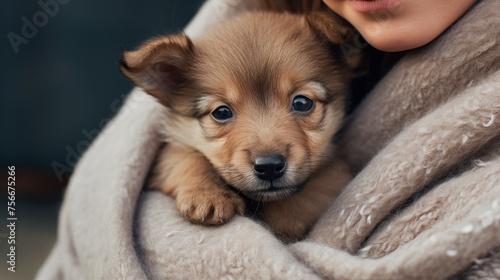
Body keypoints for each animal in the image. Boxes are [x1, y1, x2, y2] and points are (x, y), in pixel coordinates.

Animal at [120, 10, 356, 238]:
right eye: (222, 112)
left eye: (302, 103)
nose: (269, 167)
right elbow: (182, 157)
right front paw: (208, 195)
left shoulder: (333, 175)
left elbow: (313, 193)